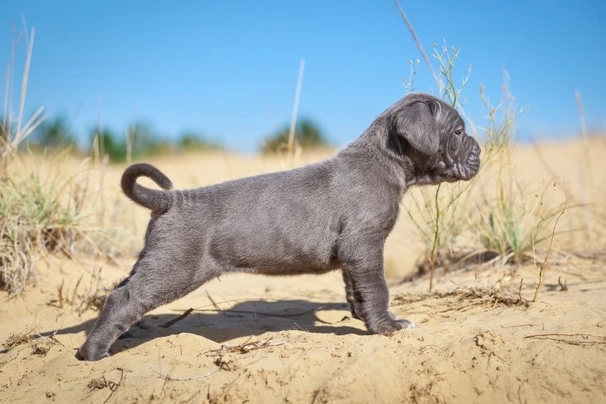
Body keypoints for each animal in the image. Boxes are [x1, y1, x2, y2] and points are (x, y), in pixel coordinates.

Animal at [78, 92, 482, 360]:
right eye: (458, 132)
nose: (479, 151)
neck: (386, 160)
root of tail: (170, 200)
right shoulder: (365, 245)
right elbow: (378, 289)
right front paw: (388, 326)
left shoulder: (354, 255)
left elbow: (357, 291)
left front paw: (362, 317)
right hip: (174, 268)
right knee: (124, 298)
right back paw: (94, 352)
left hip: (155, 260)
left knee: (120, 292)